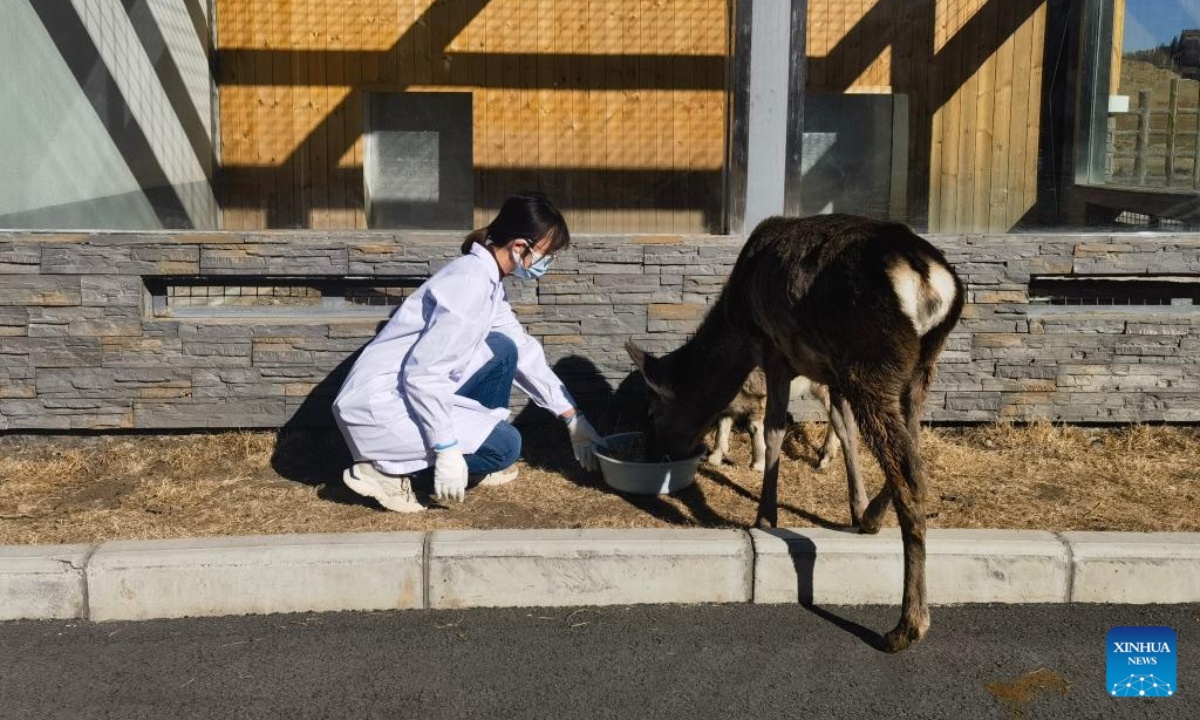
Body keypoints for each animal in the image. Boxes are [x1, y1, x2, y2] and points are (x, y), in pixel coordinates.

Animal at [624, 214, 960, 652]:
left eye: (650, 413)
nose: (651, 455)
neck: (737, 325)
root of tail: (929, 279)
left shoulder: (775, 348)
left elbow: (774, 430)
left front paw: (765, 515)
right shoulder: (829, 371)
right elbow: (844, 430)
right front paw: (857, 506)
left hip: (870, 362)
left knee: (908, 471)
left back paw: (907, 626)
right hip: (918, 368)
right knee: (915, 452)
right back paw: (873, 519)